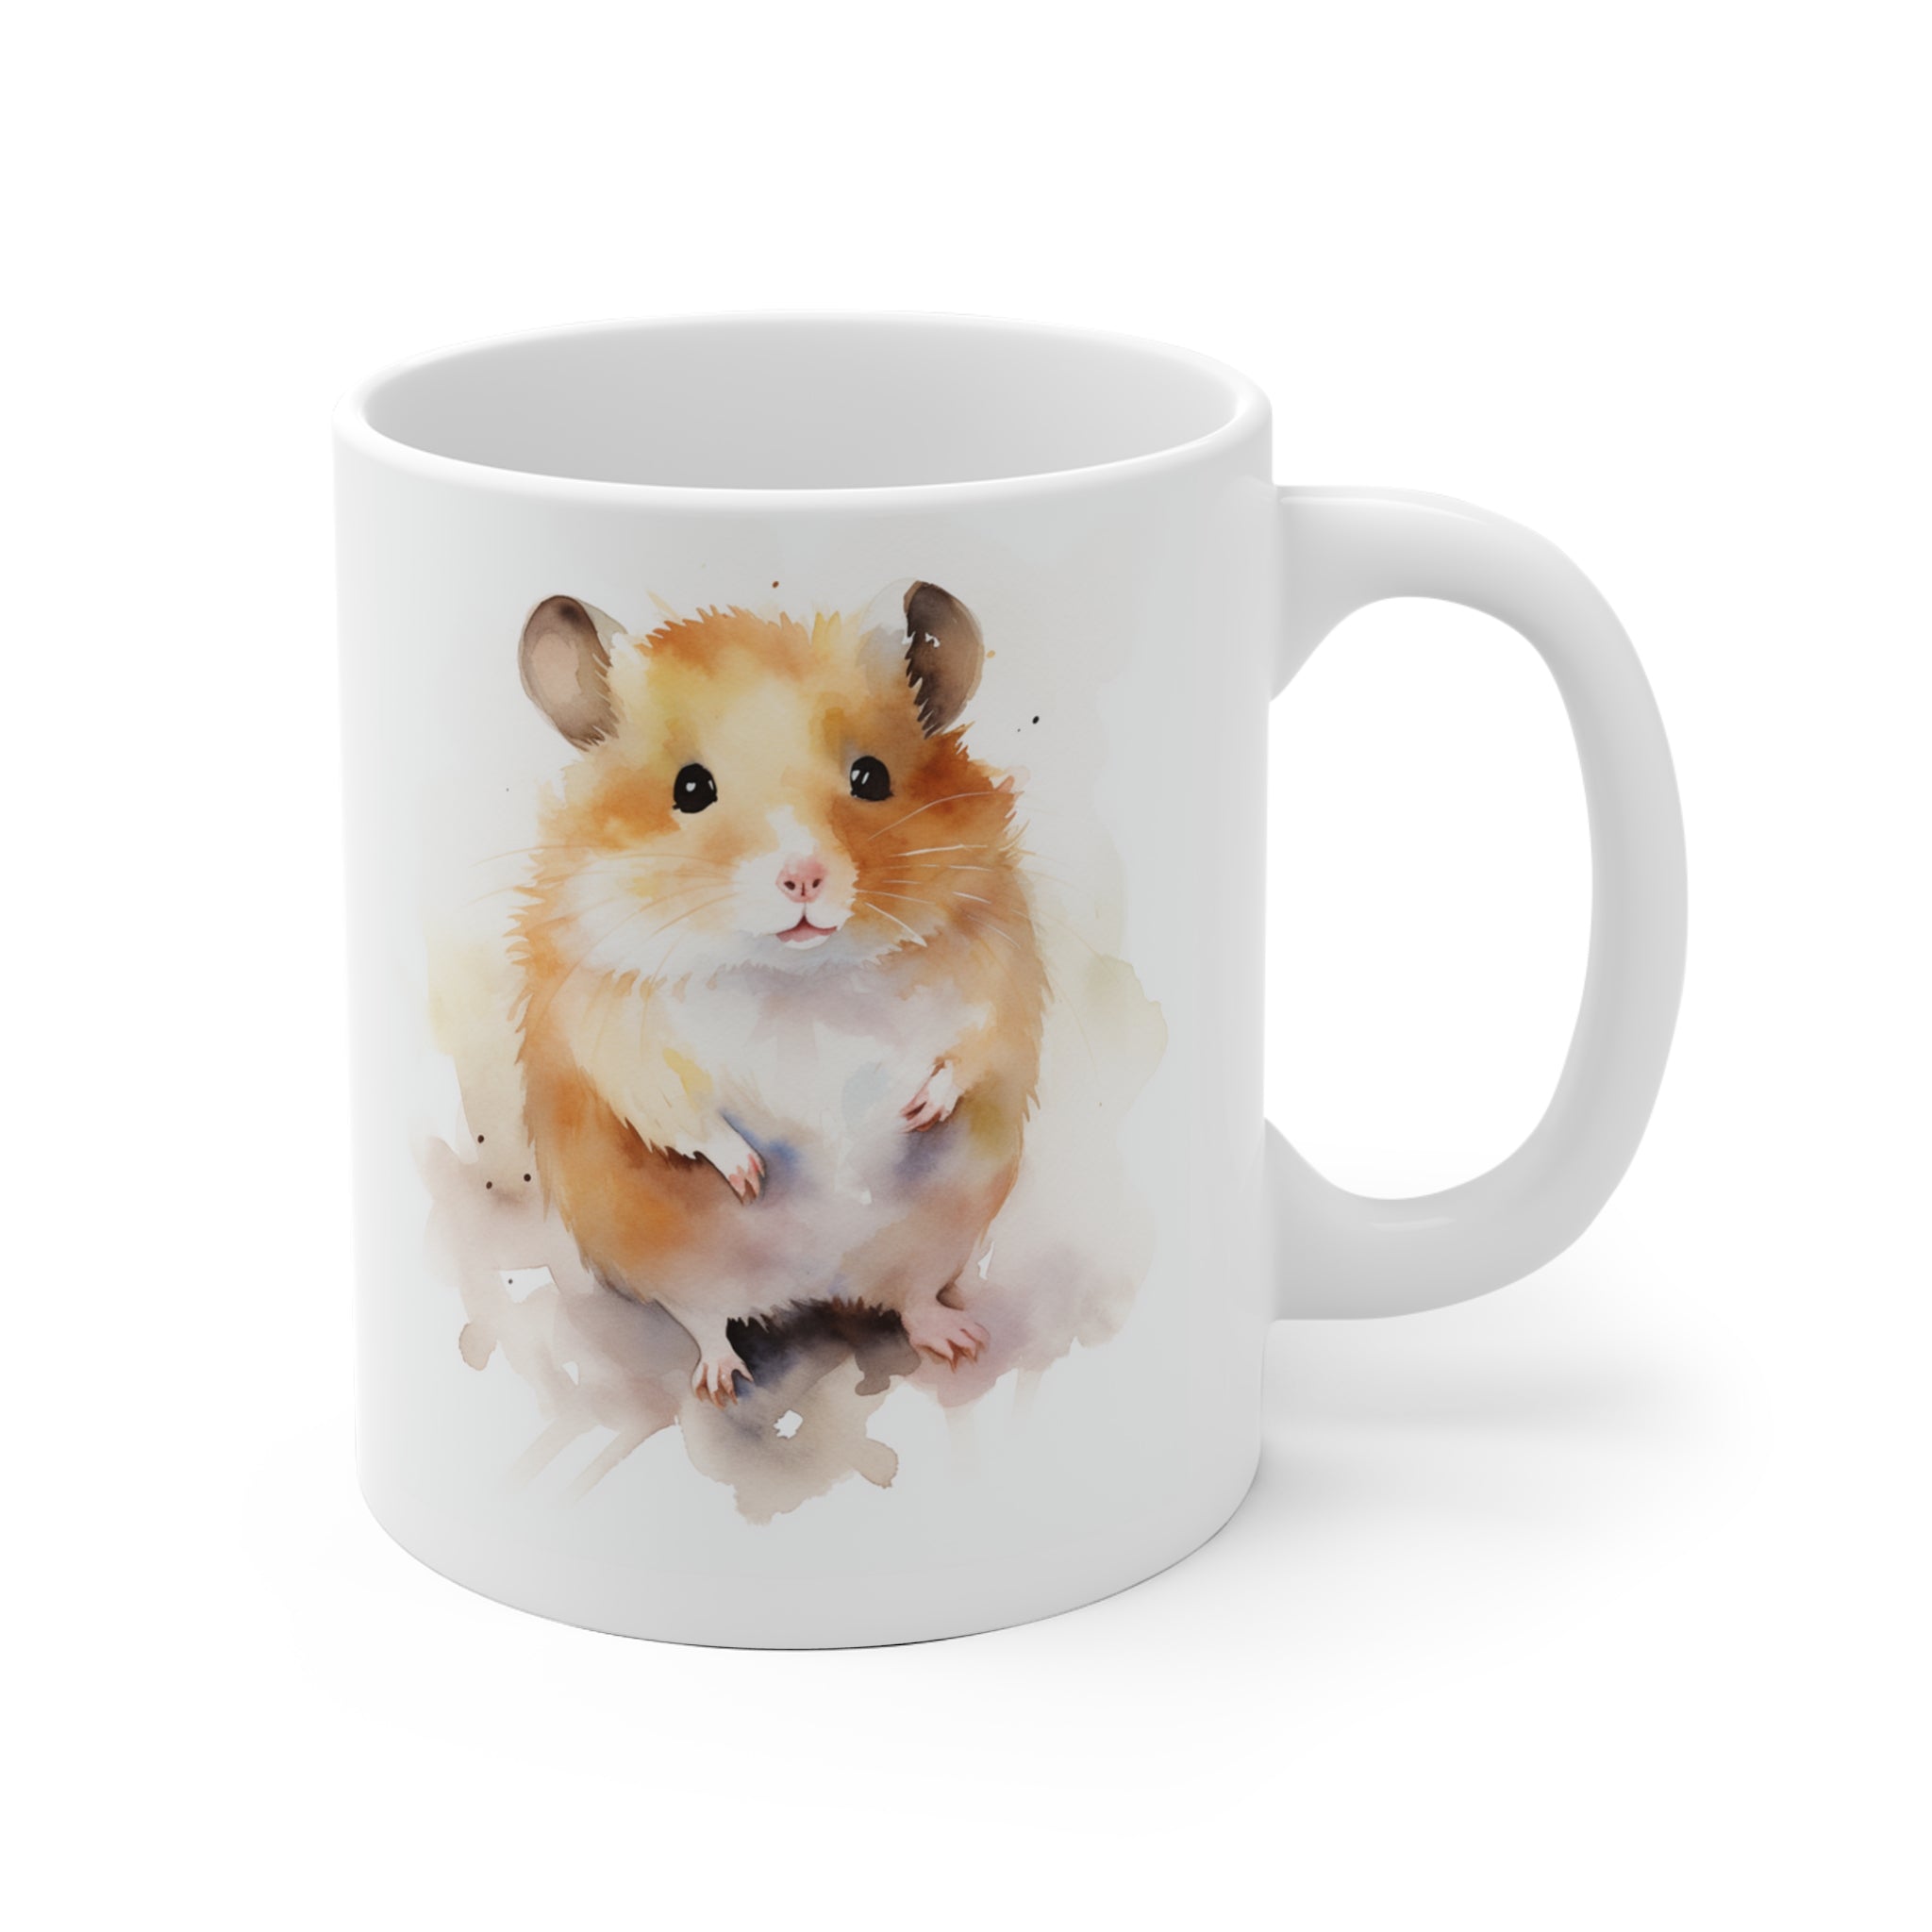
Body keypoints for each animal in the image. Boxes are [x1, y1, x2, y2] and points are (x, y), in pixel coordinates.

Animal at [510, 581, 1047, 1406]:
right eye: (690, 788)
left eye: (871, 777)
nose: (804, 877)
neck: (797, 977)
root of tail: (817, 1284)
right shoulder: (613, 1026)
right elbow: (680, 1109)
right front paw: (750, 1174)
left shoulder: (998, 967)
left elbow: (972, 1049)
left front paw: (917, 1112)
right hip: (680, 1265)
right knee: (707, 1321)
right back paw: (721, 1383)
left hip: (938, 1237)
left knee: (912, 1298)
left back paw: (959, 1342)